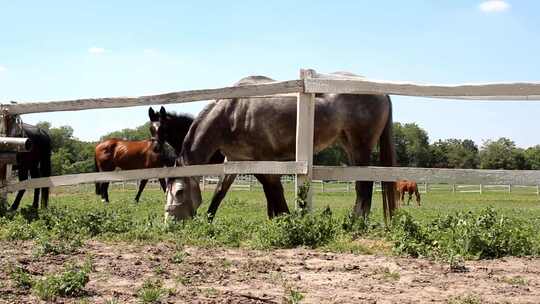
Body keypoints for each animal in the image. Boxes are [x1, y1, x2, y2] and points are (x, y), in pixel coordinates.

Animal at [163, 73, 396, 221]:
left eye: (180, 192)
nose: (170, 223)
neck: (234, 112)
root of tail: (382, 92)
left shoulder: (265, 161)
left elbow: (274, 191)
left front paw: (285, 220)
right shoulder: (237, 161)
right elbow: (220, 192)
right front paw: (208, 221)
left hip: (361, 147)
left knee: (365, 186)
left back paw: (356, 223)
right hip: (349, 147)